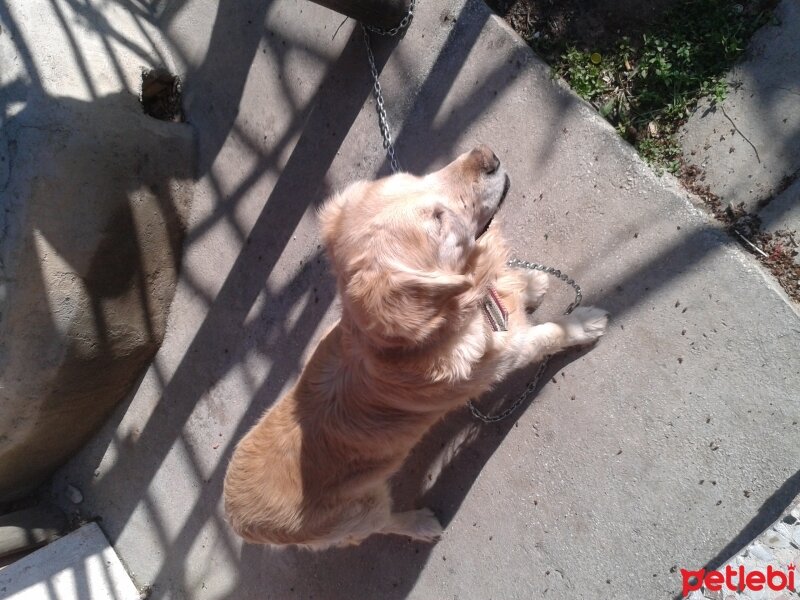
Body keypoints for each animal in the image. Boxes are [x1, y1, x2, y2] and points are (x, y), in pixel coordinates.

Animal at [220, 145, 608, 548]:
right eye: (438, 221)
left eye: (416, 176)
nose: (487, 156)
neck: (448, 322)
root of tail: (237, 520)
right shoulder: (503, 358)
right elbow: (547, 334)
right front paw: (583, 324)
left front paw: (530, 284)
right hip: (361, 512)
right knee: (383, 524)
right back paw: (421, 524)